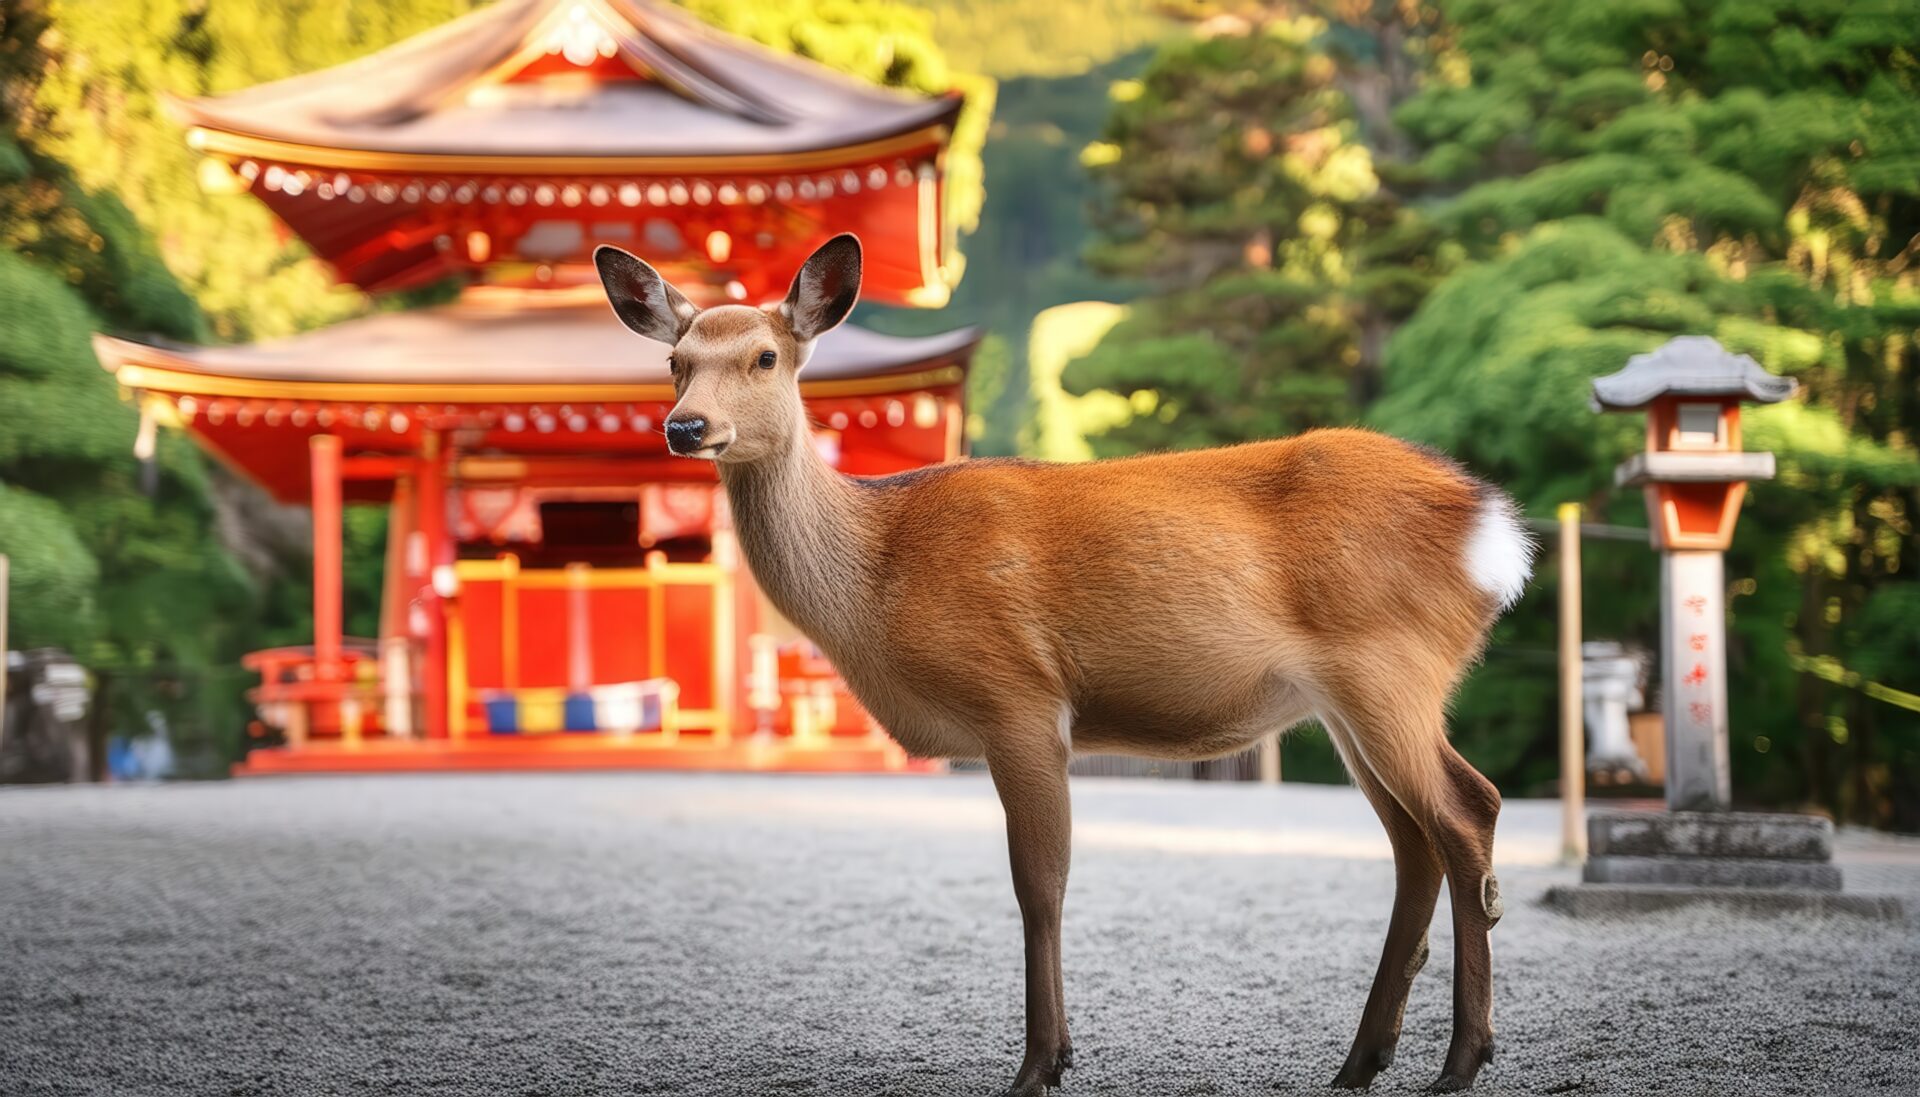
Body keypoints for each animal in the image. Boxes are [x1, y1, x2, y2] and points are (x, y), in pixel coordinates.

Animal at [594, 234, 1533, 1095]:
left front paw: (1040, 1064)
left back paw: (1460, 1061)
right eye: (675, 362)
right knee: (1414, 842)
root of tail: (1496, 532)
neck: (879, 574)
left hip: (1388, 664)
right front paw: (1053, 1056)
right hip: (1346, 700)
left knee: (1466, 811)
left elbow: (1038, 885)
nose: (686, 426)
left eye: (765, 356)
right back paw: (1360, 1061)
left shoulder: (1018, 695)